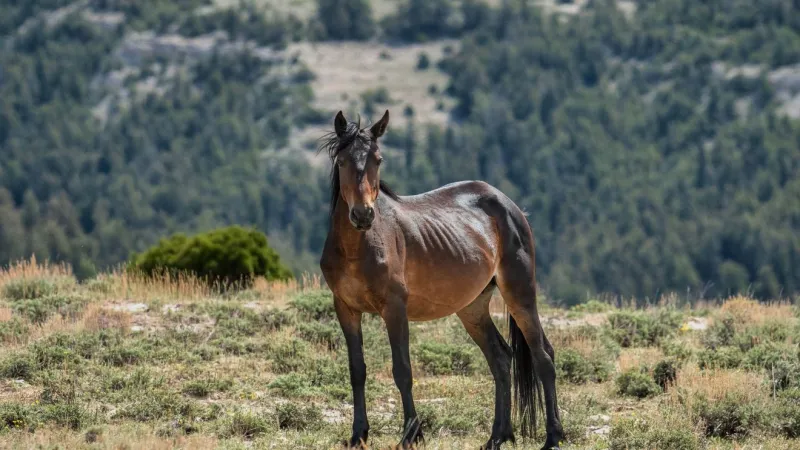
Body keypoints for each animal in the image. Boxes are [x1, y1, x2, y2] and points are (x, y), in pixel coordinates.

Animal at [318, 110, 563, 450]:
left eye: (378, 160)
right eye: (341, 161)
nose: (363, 215)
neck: (358, 248)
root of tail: (509, 205)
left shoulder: (394, 309)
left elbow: (402, 370)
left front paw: (411, 435)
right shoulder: (345, 308)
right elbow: (357, 370)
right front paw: (358, 435)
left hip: (520, 293)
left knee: (543, 356)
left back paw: (553, 437)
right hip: (472, 308)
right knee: (501, 359)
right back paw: (496, 437)